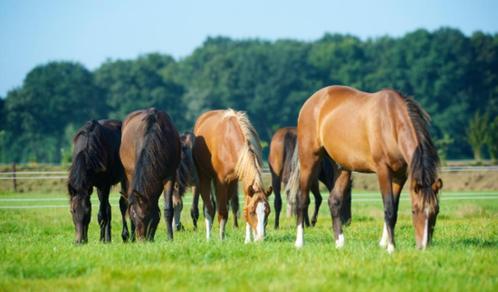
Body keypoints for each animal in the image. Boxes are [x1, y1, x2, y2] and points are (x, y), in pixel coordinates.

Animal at [118, 108, 181, 241]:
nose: (141, 239)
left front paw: (169, 237)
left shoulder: (170, 176)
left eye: (144, 216)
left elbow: (166, 209)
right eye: (133, 215)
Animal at [194, 109, 272, 242]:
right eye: (253, 212)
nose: (260, 238)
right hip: (204, 176)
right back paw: (209, 237)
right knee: (209, 208)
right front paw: (221, 239)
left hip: (232, 183)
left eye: (267, 212)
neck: (230, 142)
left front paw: (247, 240)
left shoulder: (242, 181)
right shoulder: (221, 181)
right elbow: (222, 212)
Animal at [288, 85, 444, 252]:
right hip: (309, 159)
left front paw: (383, 243)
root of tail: (312, 101)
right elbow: (389, 209)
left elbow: (394, 208)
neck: (391, 122)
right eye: (414, 210)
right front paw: (391, 247)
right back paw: (299, 242)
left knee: (334, 201)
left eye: (436, 211)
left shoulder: (400, 175)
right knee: (302, 198)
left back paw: (339, 243)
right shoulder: (383, 171)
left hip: (342, 167)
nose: (424, 246)